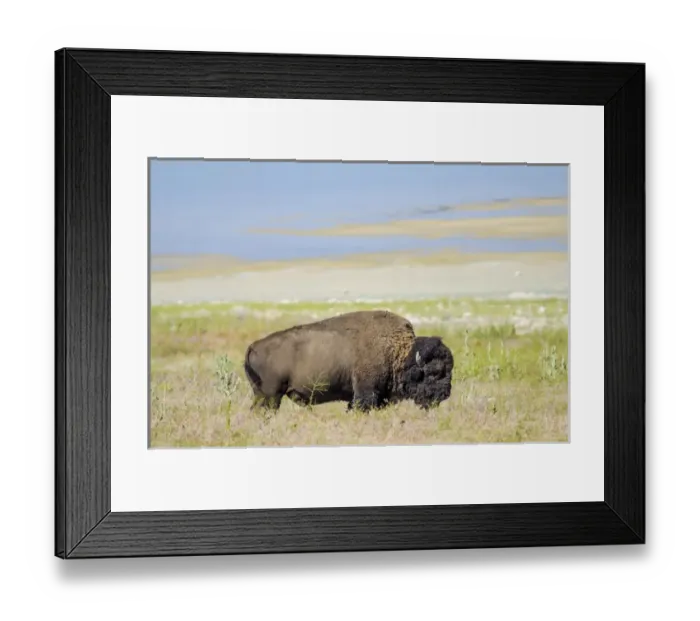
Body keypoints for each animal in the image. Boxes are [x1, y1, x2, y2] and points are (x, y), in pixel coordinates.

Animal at [243, 310, 453, 412]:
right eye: (434, 373)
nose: (445, 394)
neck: (398, 351)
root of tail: (253, 346)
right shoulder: (365, 393)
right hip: (270, 396)